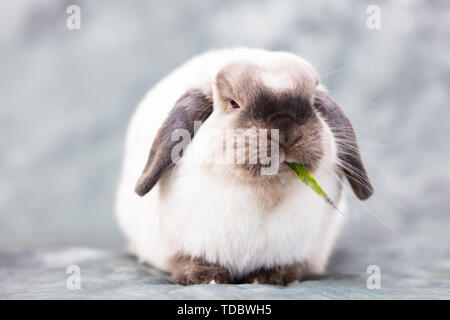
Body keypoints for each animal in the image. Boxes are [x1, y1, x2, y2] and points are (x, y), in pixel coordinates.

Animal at [116, 48, 372, 286]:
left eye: (312, 104)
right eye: (234, 103)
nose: (285, 129)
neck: (264, 193)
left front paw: (273, 277)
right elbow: (185, 260)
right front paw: (203, 277)